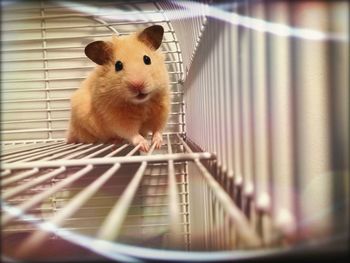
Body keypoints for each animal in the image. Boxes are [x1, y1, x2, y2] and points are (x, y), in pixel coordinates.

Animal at [66, 25, 170, 153]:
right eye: (118, 65)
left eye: (147, 59)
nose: (138, 85)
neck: (141, 103)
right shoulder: (118, 119)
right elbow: (132, 133)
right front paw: (145, 146)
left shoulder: (162, 110)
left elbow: (158, 129)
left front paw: (157, 144)